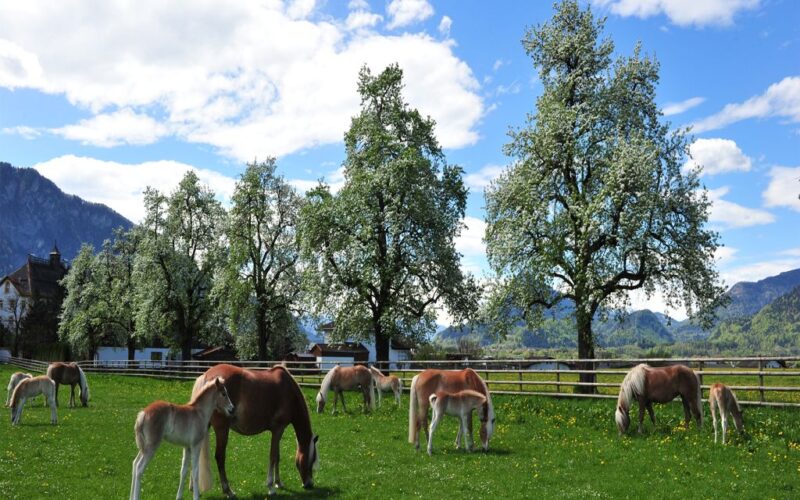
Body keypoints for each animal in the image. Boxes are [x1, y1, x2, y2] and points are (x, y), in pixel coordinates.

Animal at [193, 364, 320, 497]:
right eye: (312, 459)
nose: (309, 484)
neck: (288, 392)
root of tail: (206, 375)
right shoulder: (278, 429)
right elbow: (273, 456)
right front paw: (271, 487)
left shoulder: (279, 431)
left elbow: (277, 456)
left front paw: (278, 483)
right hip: (222, 430)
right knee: (220, 457)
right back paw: (228, 491)